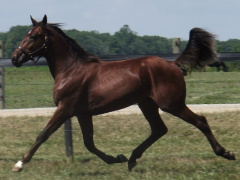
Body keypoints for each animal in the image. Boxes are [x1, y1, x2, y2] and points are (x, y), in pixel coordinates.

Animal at [10, 15, 234, 172]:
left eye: (33, 36)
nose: (14, 58)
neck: (71, 70)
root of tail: (173, 64)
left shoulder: (65, 108)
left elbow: (43, 134)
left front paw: (19, 164)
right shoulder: (82, 113)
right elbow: (89, 143)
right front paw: (116, 158)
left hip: (171, 104)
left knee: (200, 121)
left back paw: (226, 153)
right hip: (147, 104)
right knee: (159, 129)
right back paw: (132, 159)